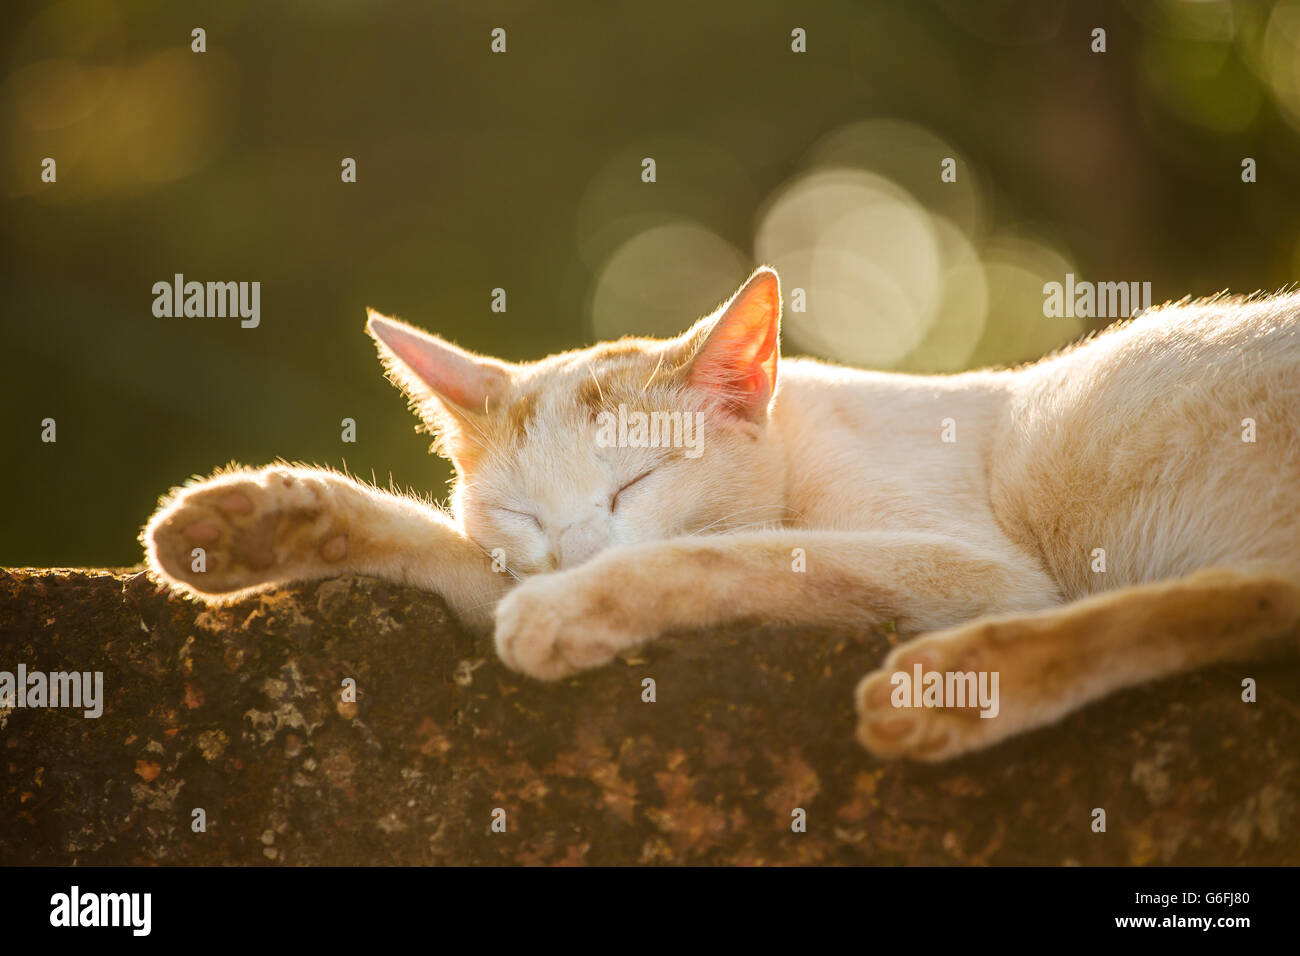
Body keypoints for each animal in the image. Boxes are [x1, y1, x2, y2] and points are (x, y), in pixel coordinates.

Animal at [142, 269, 1300, 764]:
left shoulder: (973, 563)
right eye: (522, 510)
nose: (572, 549)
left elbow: (751, 553)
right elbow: (460, 556)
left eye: (634, 485)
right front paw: (256, 523)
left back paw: (953, 686)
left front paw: (575, 608)